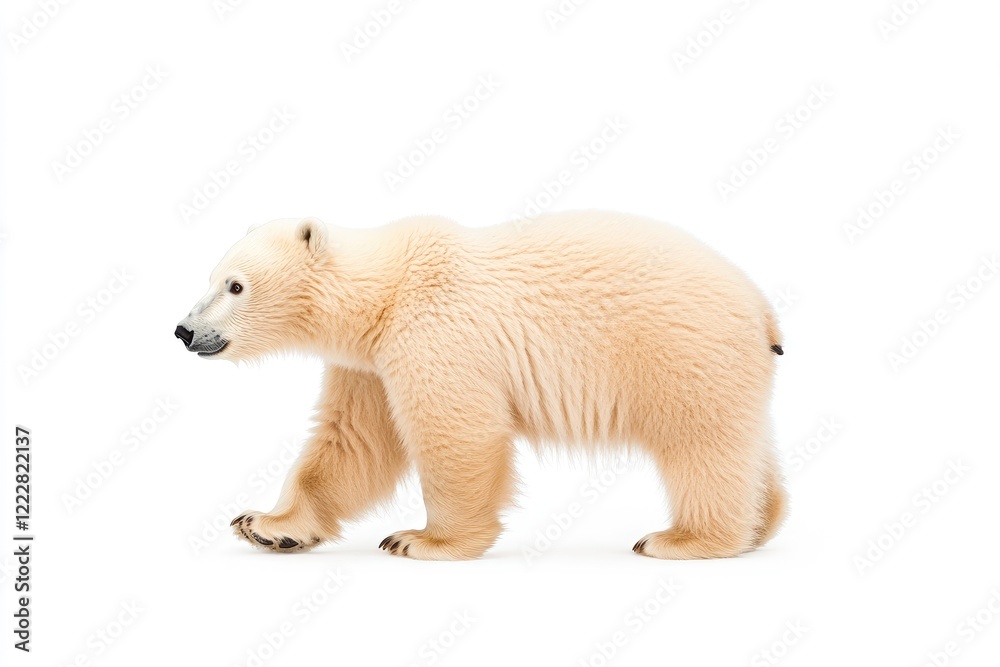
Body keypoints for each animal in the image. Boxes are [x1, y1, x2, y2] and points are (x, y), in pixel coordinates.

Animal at [175, 211, 786, 560]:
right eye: (211, 278)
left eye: (235, 285)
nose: (184, 330)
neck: (386, 290)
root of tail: (763, 309)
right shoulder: (368, 364)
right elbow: (354, 441)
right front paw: (266, 525)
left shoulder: (435, 333)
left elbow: (457, 433)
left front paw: (421, 540)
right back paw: (762, 523)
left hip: (681, 351)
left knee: (699, 444)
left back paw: (683, 539)